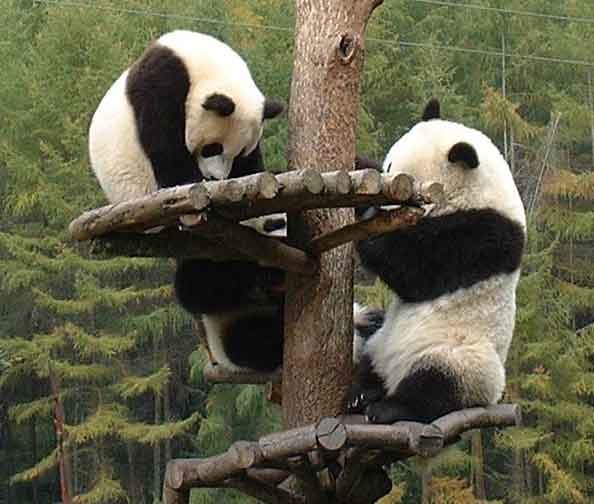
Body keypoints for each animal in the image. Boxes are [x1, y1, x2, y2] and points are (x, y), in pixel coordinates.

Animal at [344, 98, 524, 422]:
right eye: (388, 167)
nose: (383, 206)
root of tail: (394, 378)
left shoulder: (482, 236)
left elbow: (415, 269)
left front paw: (372, 226)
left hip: (461, 355)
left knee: (437, 382)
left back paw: (390, 407)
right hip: (382, 343)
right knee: (370, 359)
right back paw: (363, 393)